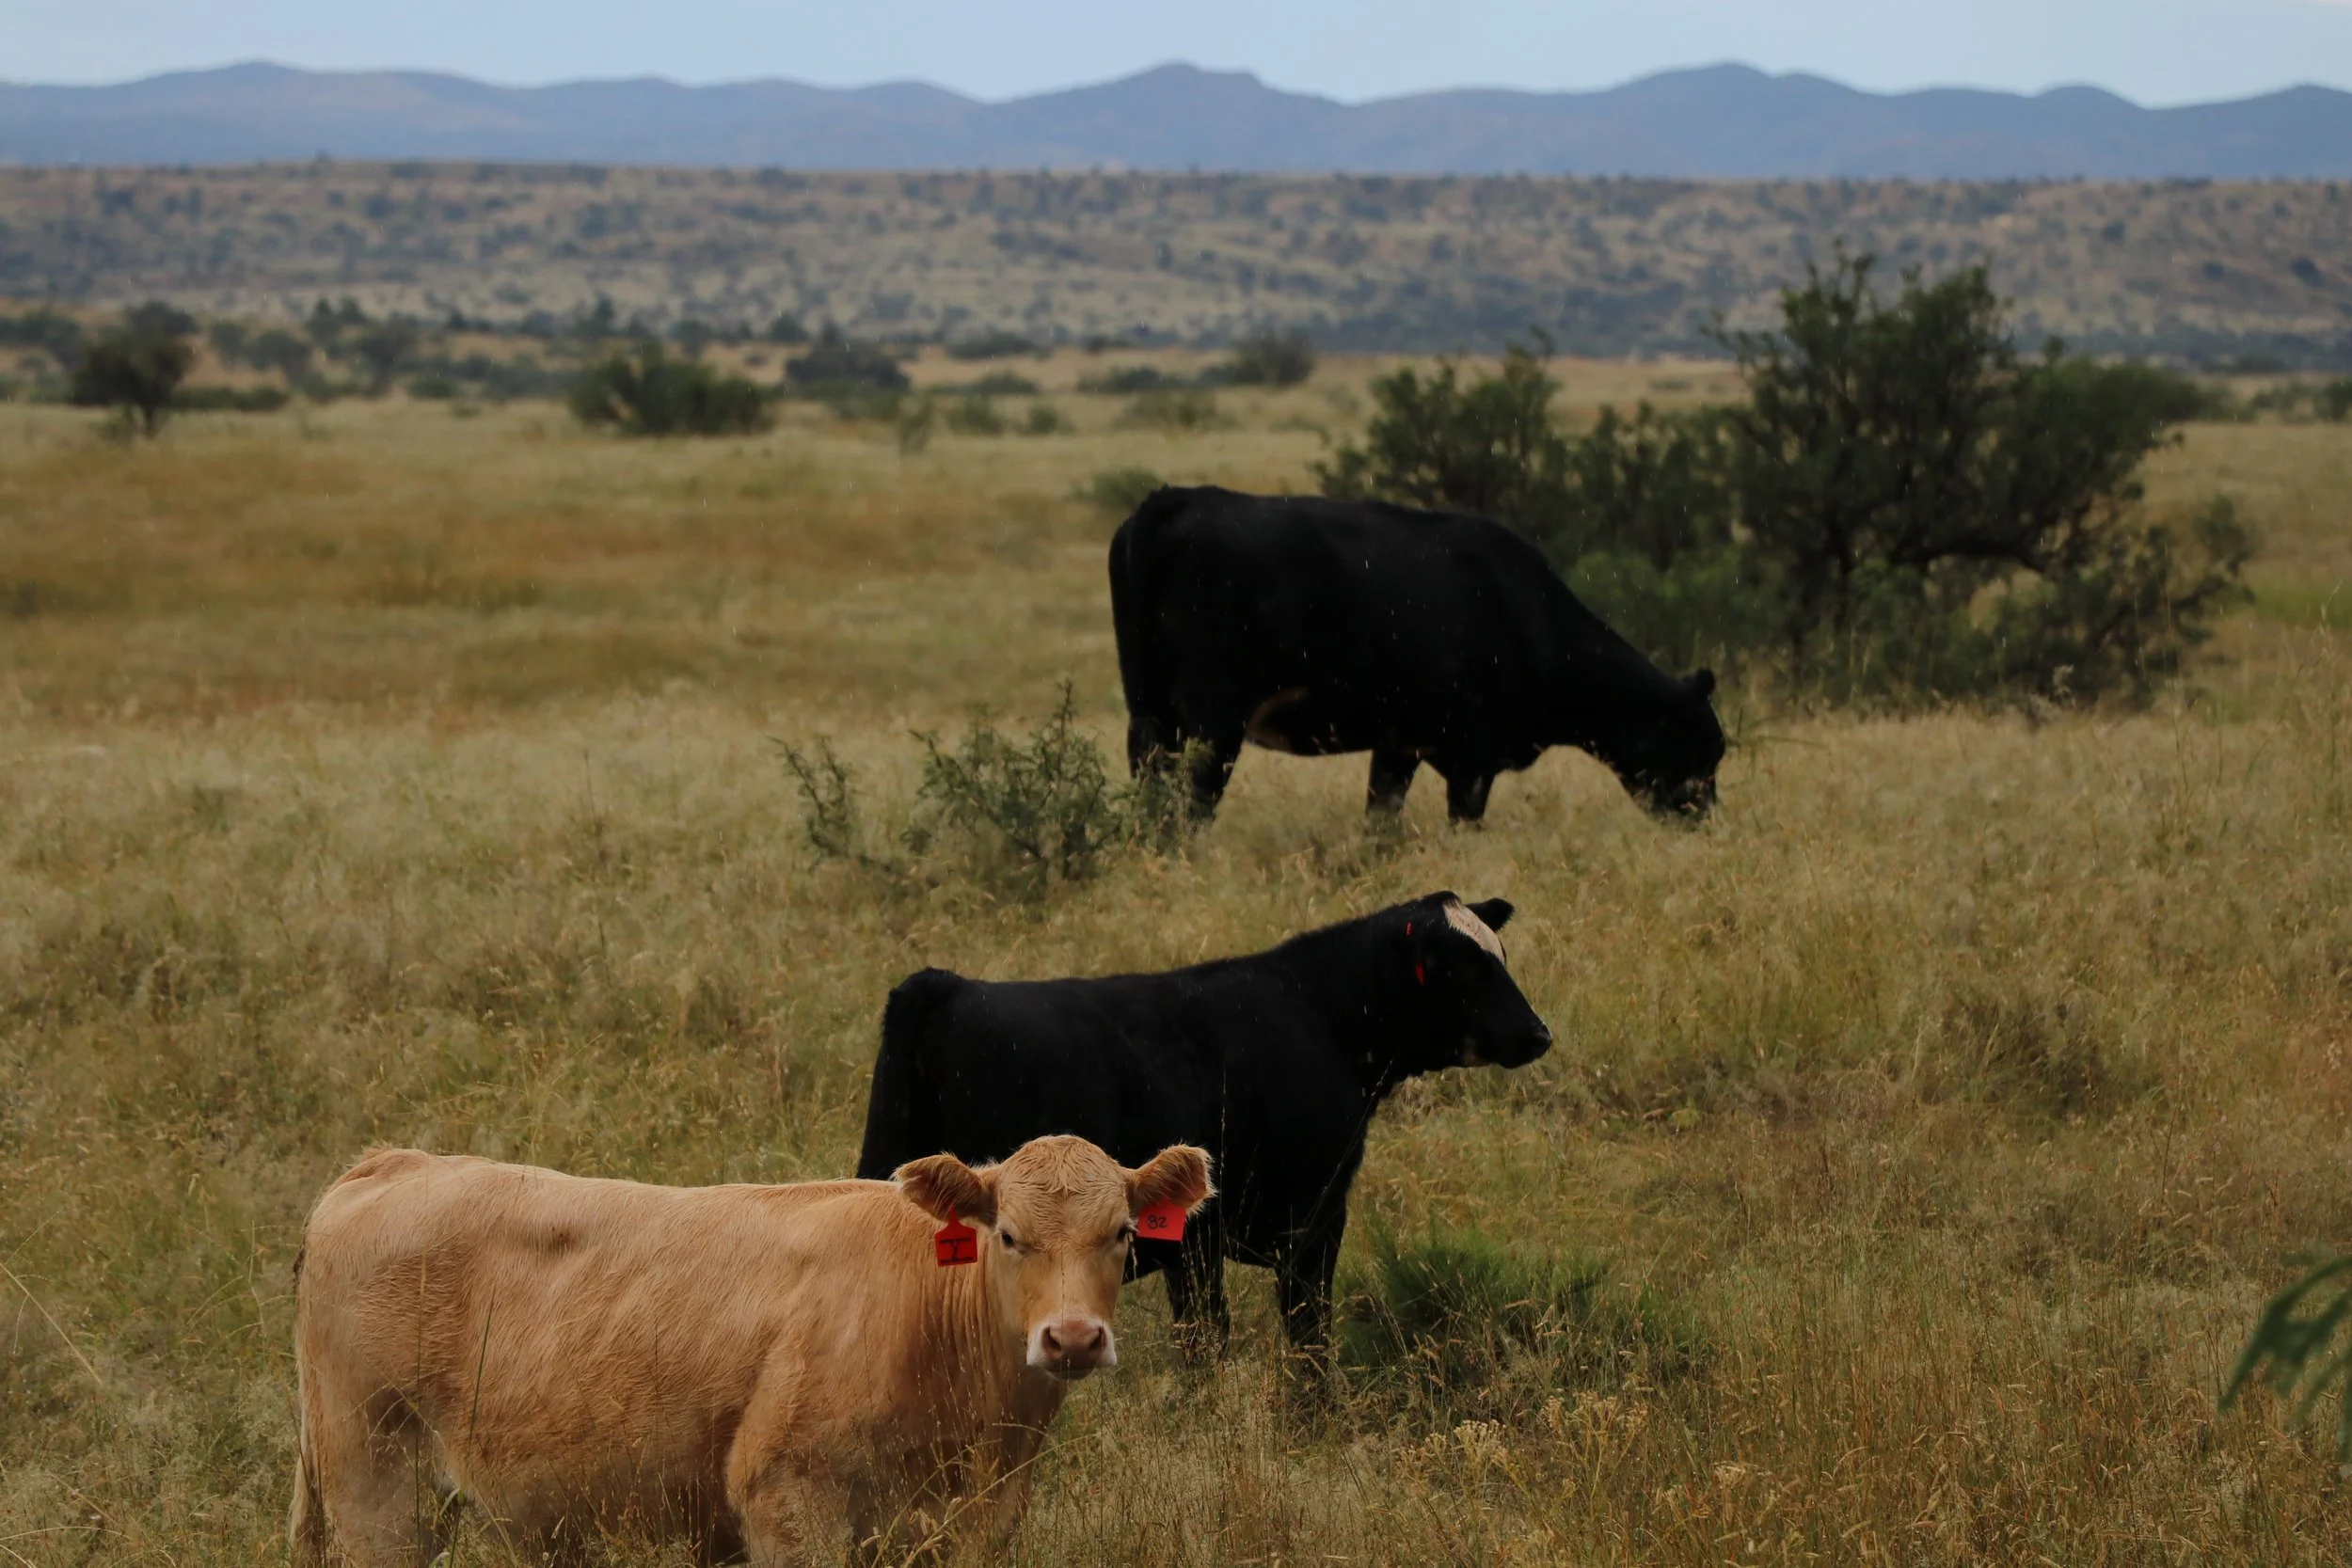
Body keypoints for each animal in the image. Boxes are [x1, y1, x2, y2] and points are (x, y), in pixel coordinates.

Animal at [288, 1135, 1212, 1566]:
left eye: (1123, 1232)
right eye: (1010, 1235)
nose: (1072, 1337)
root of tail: (391, 1163)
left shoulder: (982, 1517)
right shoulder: (786, 1494)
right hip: (376, 1483)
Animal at [854, 891, 1551, 1372]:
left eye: (1501, 956)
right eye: (1459, 969)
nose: (1537, 1032)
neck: (1319, 1018)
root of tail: (939, 986)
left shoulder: (1198, 1247)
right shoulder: (1311, 1222)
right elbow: (1299, 1332)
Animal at [1108, 484, 1725, 823]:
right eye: (1706, 750)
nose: (1711, 820)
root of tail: (1173, 498)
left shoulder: (1398, 745)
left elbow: (1380, 825)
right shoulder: (1474, 759)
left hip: (1150, 715)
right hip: (1213, 723)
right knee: (1190, 808)